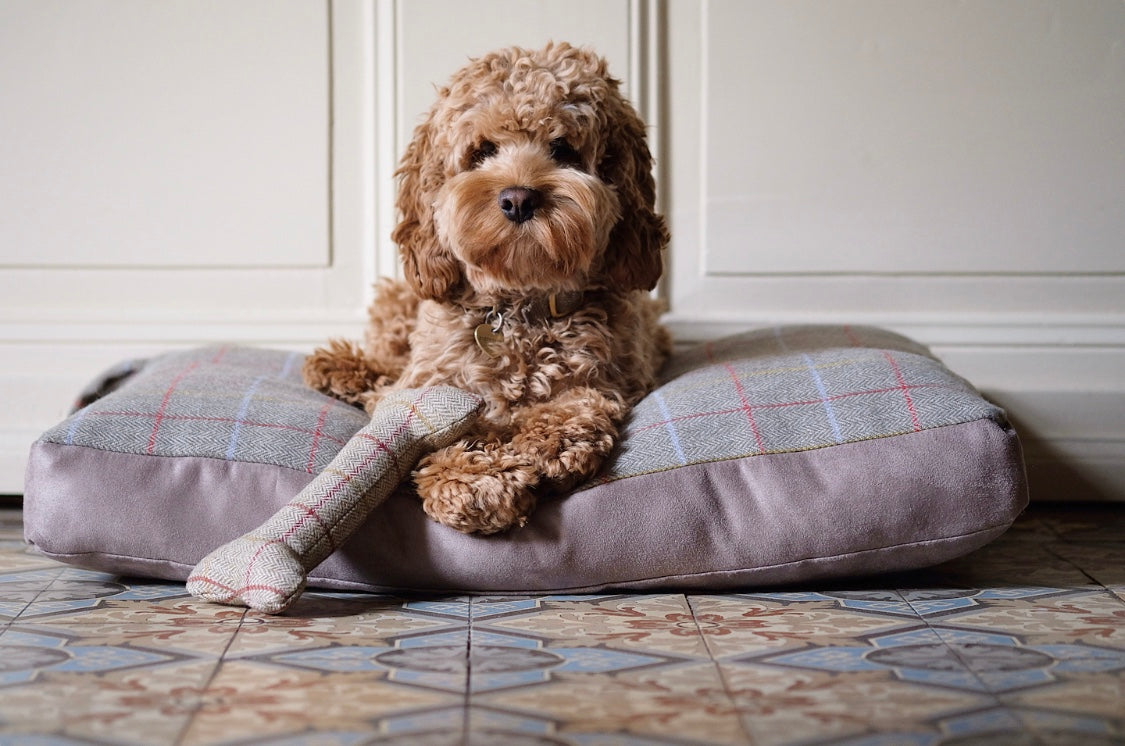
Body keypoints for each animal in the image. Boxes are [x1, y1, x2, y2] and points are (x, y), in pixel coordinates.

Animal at [301, 40, 666, 533]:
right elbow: (426, 425)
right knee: (385, 363)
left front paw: (549, 442)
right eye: (482, 151)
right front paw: (476, 482)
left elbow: (579, 401)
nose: (518, 199)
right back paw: (339, 366)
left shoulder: (615, 376)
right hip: (397, 301)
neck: (519, 305)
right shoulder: (431, 379)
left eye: (564, 149)